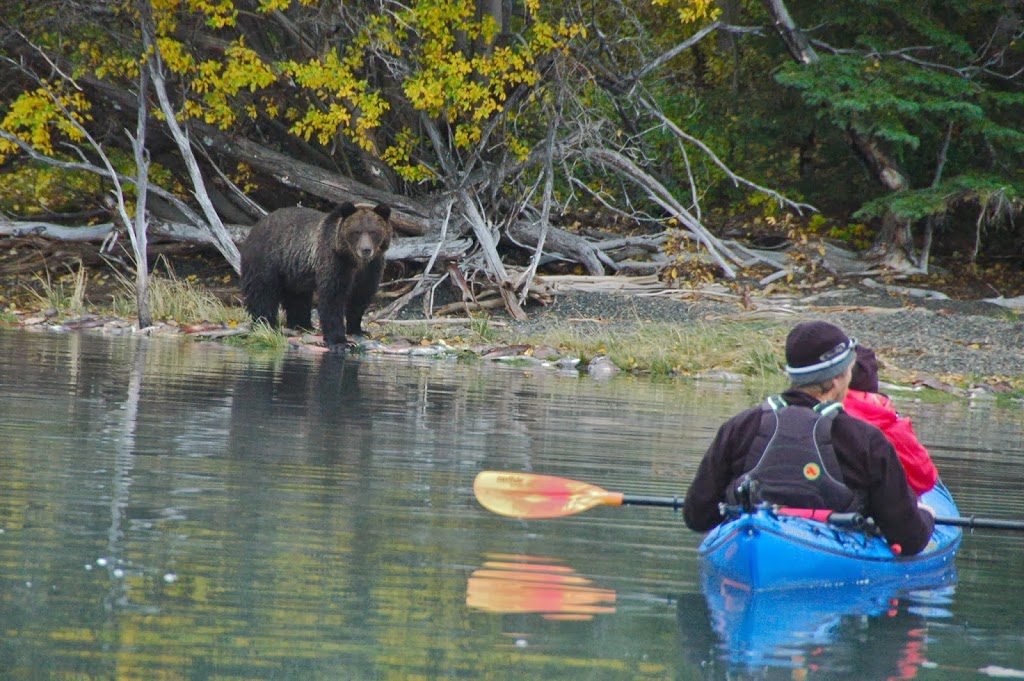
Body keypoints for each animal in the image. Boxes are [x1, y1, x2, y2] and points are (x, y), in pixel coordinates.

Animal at [239, 202, 392, 351]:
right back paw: (266, 323)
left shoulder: (371, 268)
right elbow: (333, 297)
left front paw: (358, 330)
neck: (354, 261)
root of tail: (255, 227)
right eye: (356, 232)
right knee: (263, 292)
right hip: (267, 259)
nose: (366, 249)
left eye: (373, 232)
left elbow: (360, 297)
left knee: (297, 297)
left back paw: (302, 324)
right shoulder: (335, 261)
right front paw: (340, 341)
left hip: (294, 270)